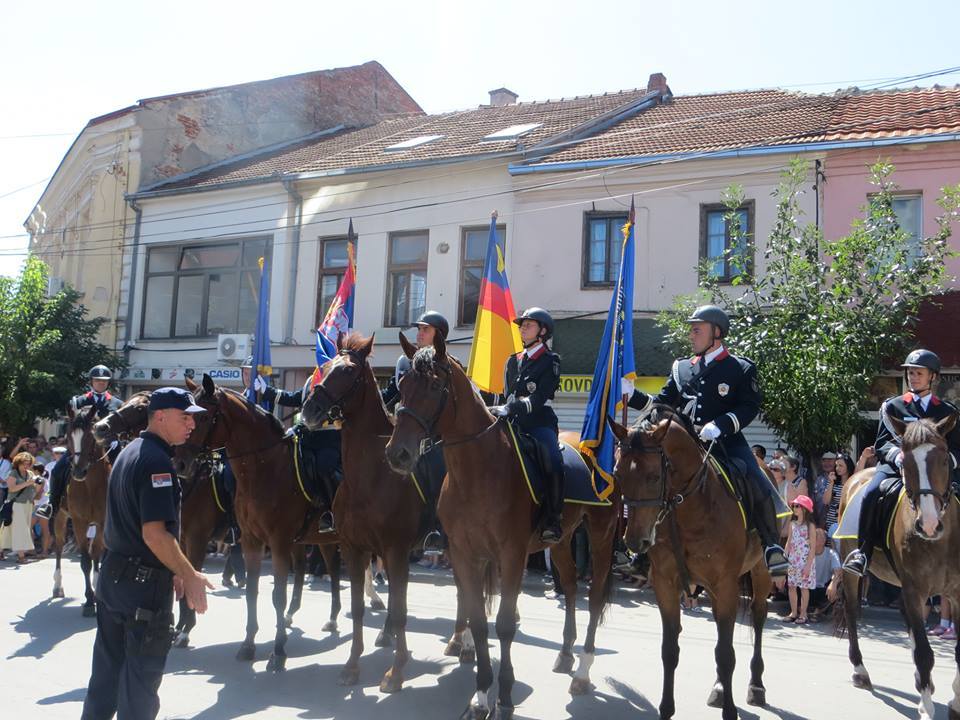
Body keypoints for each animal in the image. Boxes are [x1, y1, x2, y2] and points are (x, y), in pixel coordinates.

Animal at [53, 408, 108, 616]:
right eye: (68, 436)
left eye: (91, 437)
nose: (78, 471)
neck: (90, 485)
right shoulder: (78, 521)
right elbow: (85, 561)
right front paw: (89, 601)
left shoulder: (102, 522)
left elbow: (97, 554)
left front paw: (97, 593)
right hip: (60, 517)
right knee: (58, 546)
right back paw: (57, 586)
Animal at [386, 334, 620, 716]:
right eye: (402, 385)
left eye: (434, 385)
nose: (398, 454)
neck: (477, 469)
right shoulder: (465, 554)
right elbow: (479, 622)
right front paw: (481, 695)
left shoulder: (512, 555)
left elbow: (506, 626)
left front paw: (505, 696)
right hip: (559, 541)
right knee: (571, 586)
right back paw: (565, 654)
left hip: (601, 535)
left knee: (595, 596)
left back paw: (583, 671)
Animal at [612, 404, 776, 720]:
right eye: (617, 474)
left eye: (654, 476)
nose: (636, 542)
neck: (691, 507)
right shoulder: (666, 584)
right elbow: (670, 650)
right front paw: (666, 708)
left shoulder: (725, 585)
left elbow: (725, 654)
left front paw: (730, 711)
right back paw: (720, 688)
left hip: (760, 573)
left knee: (759, 616)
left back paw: (757, 685)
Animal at [832, 416, 960, 720]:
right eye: (906, 462)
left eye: (944, 460)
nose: (928, 524)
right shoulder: (915, 590)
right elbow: (924, 653)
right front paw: (926, 707)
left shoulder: (956, 592)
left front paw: (955, 699)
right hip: (853, 570)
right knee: (852, 611)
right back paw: (860, 670)